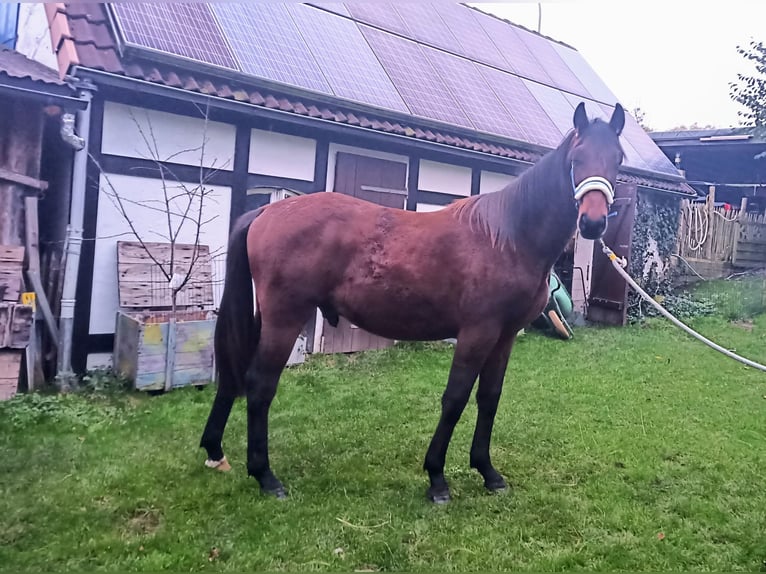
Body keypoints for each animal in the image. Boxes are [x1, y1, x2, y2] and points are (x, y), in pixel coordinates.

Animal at [198, 102, 624, 504]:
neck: (507, 238)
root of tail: (267, 209)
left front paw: (488, 472)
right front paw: (437, 478)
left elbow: (489, 399)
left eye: (617, 158)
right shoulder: (477, 333)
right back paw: (265, 476)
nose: (593, 223)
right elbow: (455, 399)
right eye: (577, 156)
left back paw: (215, 450)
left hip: (266, 317)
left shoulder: (504, 337)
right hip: (285, 318)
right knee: (260, 384)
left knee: (238, 376)